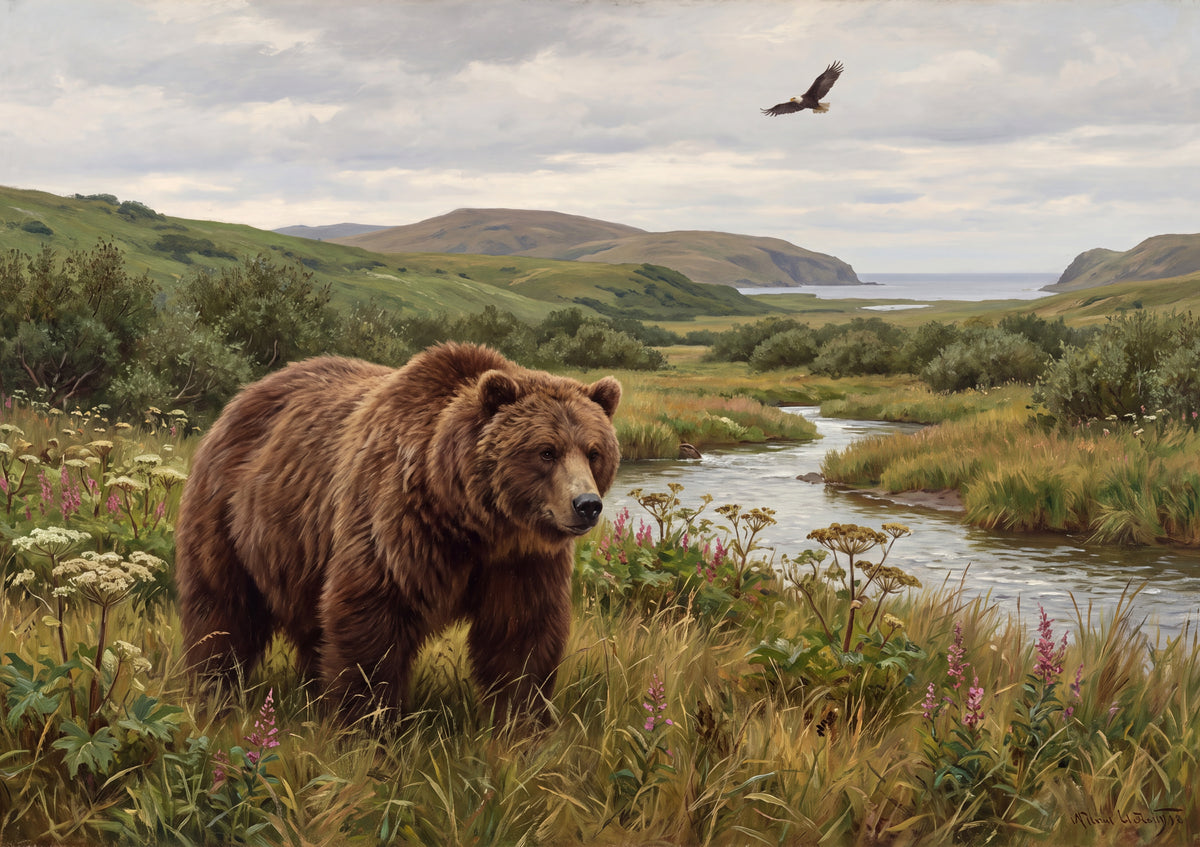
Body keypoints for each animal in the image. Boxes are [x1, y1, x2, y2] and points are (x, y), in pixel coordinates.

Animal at [174, 342, 621, 724]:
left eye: (594, 451)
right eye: (546, 451)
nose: (587, 505)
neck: (471, 519)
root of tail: (242, 397)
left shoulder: (522, 560)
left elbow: (521, 635)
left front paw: (521, 724)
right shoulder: (396, 524)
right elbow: (372, 621)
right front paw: (368, 725)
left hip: (299, 549)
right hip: (232, 518)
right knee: (222, 611)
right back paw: (215, 692)